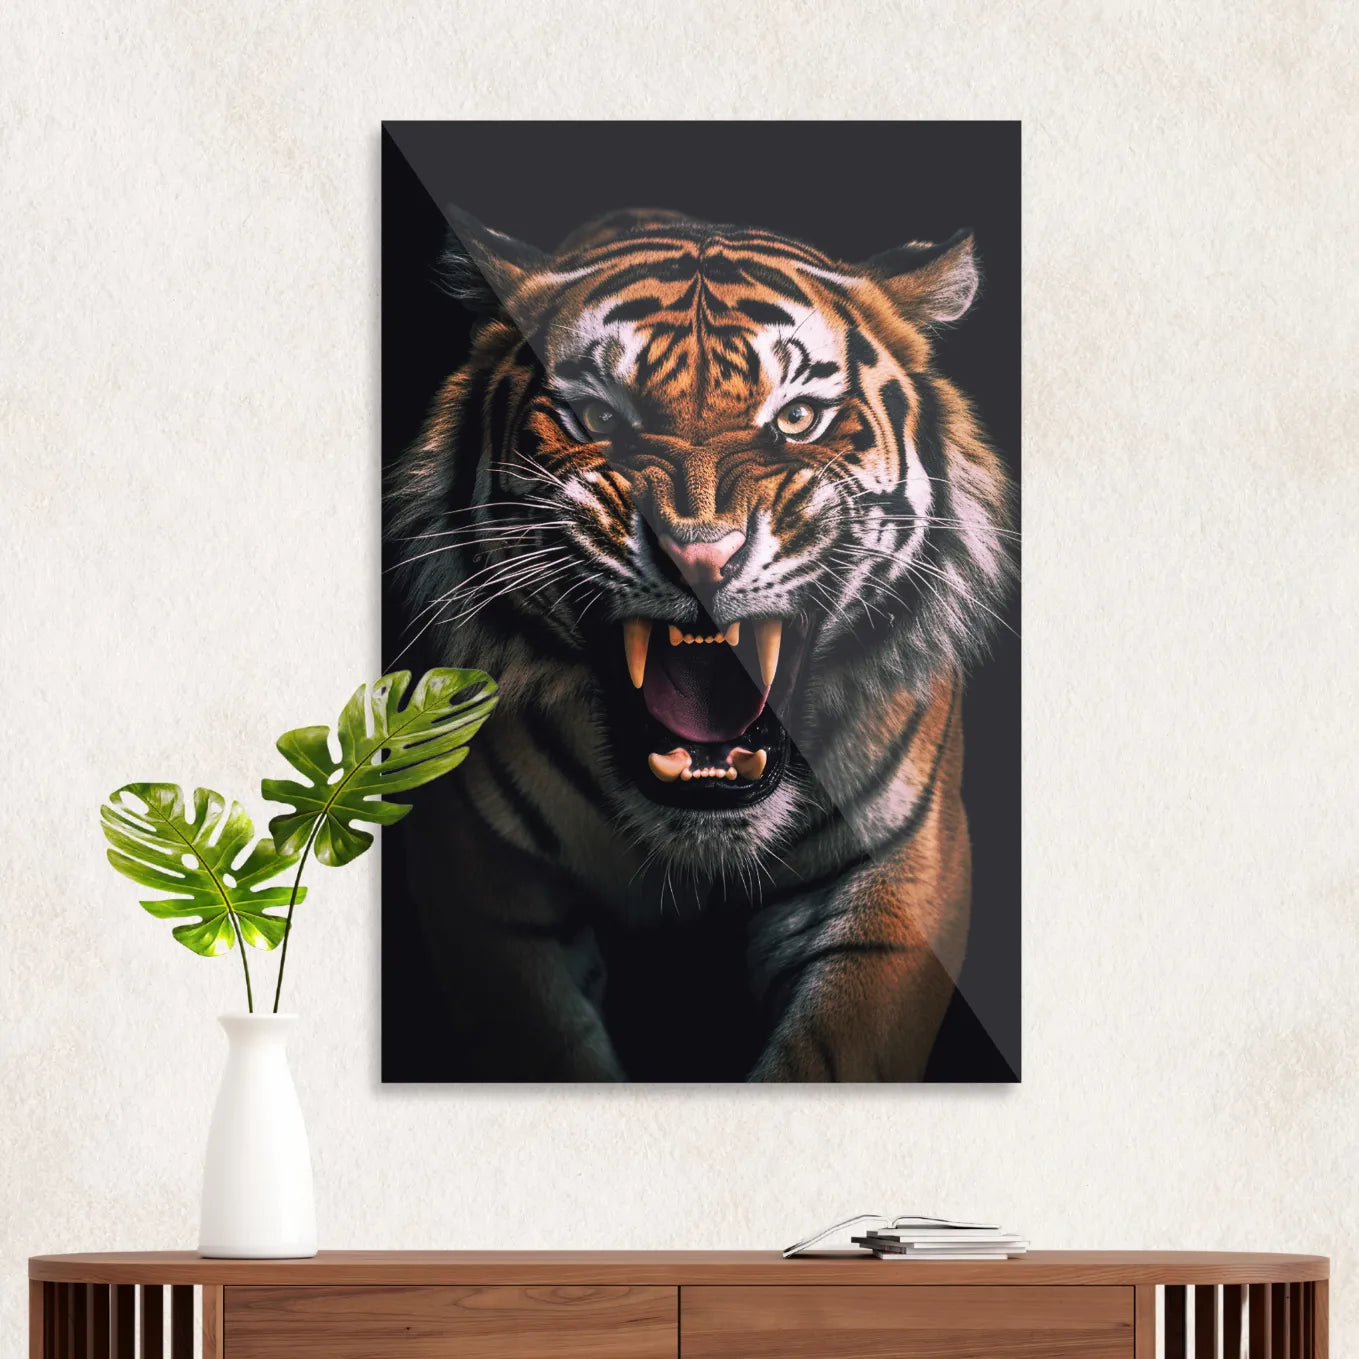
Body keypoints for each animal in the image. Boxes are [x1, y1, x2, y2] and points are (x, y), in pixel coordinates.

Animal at [386, 204, 1015, 1081]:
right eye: (598, 418)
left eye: (796, 418)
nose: (699, 554)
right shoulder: (481, 873)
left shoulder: (899, 867)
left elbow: (831, 1054)